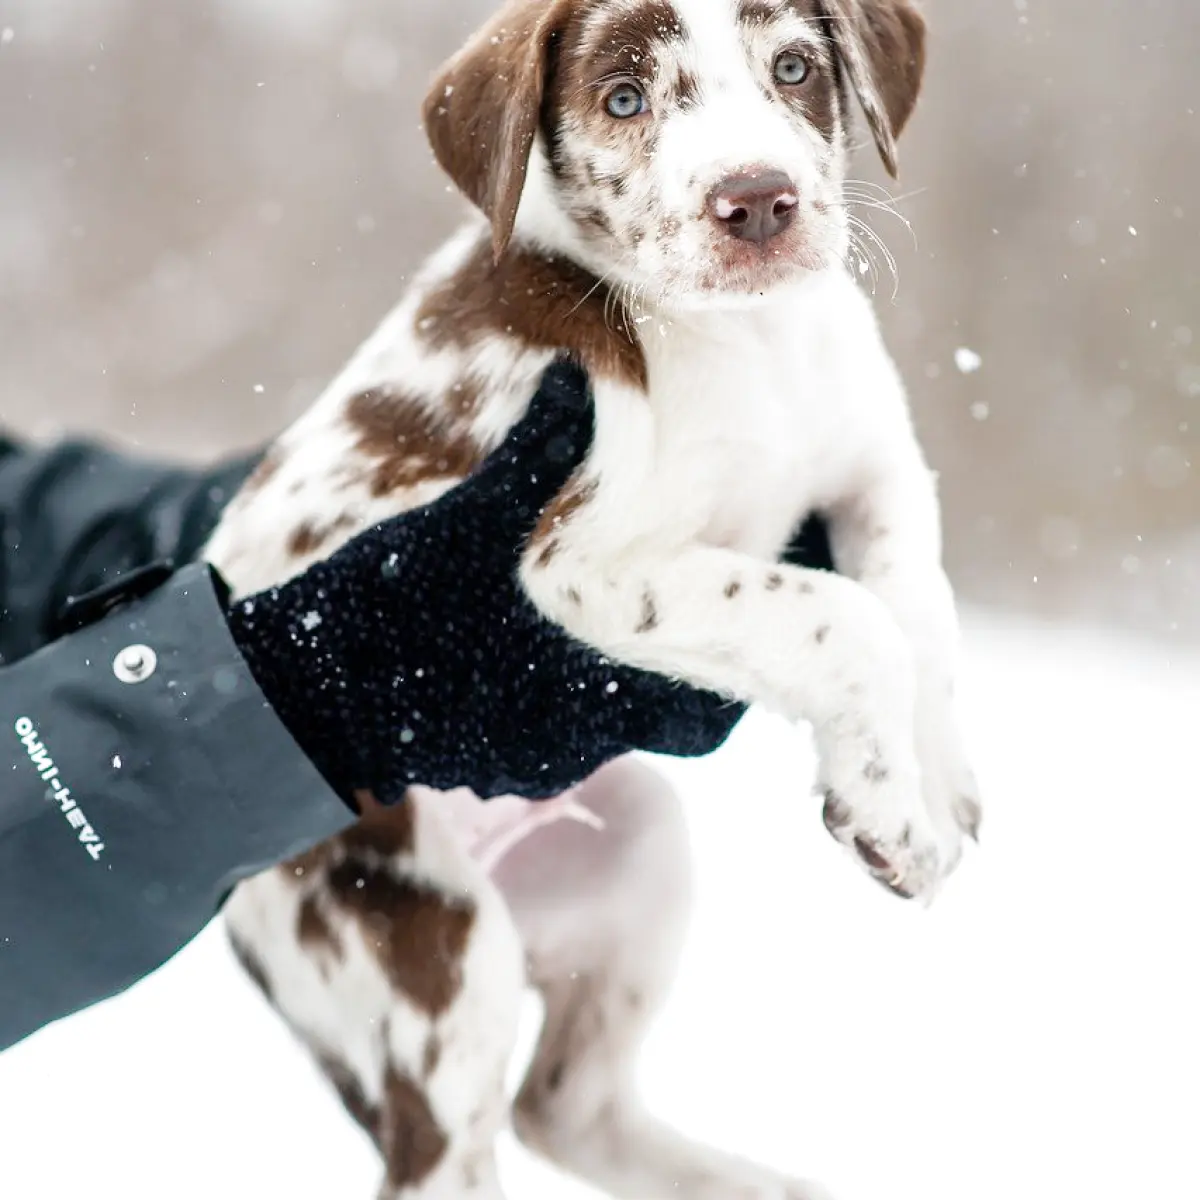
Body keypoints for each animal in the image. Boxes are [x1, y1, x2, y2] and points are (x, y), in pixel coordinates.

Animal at [206, 4, 979, 1195]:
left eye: (794, 67)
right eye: (624, 100)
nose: (757, 201)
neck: (754, 345)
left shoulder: (872, 466)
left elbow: (916, 607)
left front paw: (932, 785)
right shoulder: (579, 560)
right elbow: (843, 621)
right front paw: (890, 809)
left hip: (641, 851)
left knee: (566, 1107)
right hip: (425, 953)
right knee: (451, 1148)